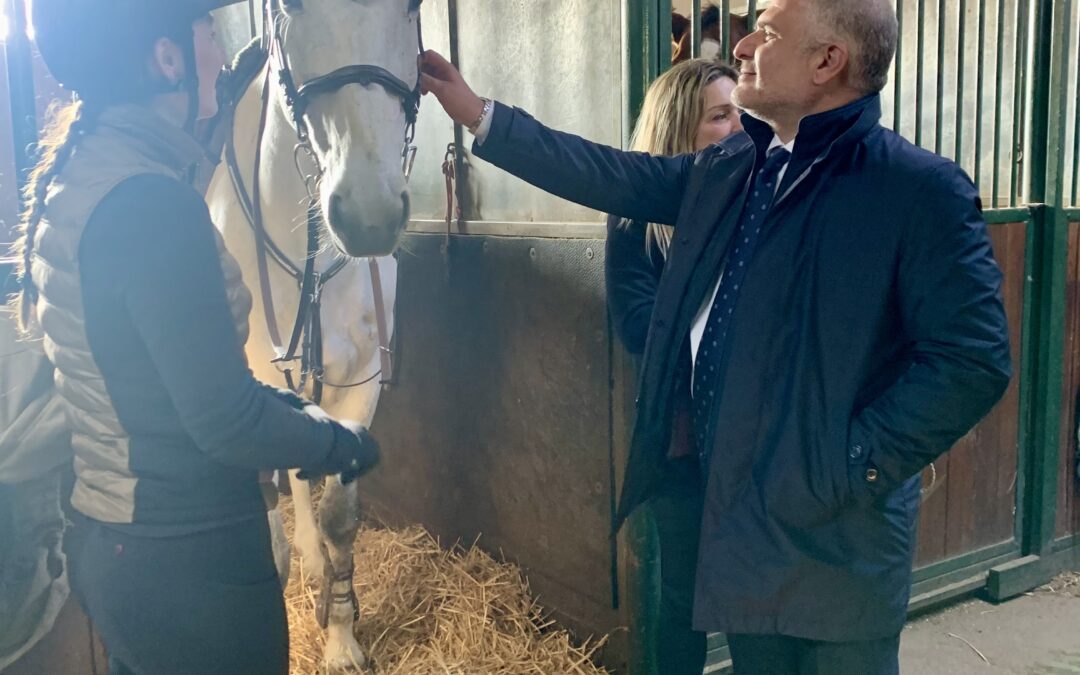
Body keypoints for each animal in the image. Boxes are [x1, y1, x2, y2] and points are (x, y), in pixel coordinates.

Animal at [203, 0, 421, 665]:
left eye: (413, 7)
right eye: (289, 7)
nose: (370, 216)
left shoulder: (361, 379)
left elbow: (337, 517)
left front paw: (342, 637)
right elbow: (265, 533)